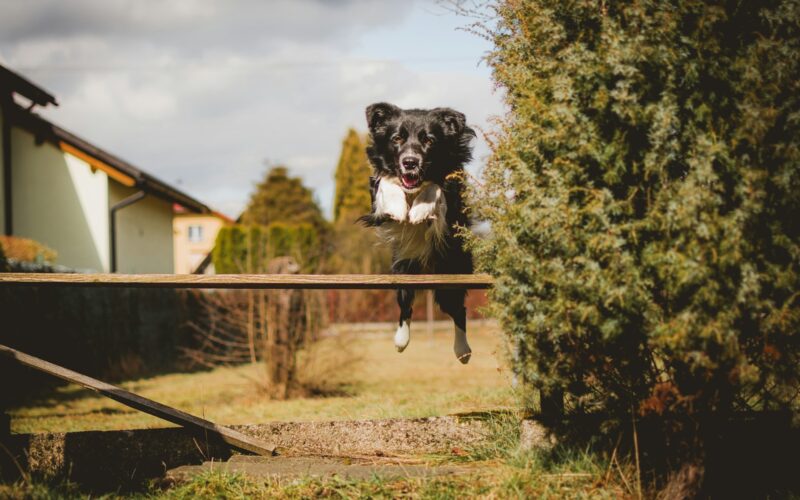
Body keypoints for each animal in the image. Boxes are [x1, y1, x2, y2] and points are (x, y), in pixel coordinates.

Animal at [358, 101, 476, 364]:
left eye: (429, 140)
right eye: (397, 138)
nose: (410, 162)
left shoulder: (453, 197)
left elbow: (437, 187)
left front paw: (421, 209)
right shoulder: (375, 198)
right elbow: (386, 183)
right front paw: (399, 207)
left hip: (452, 272)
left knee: (458, 310)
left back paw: (462, 351)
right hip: (403, 269)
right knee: (406, 305)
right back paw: (401, 341)